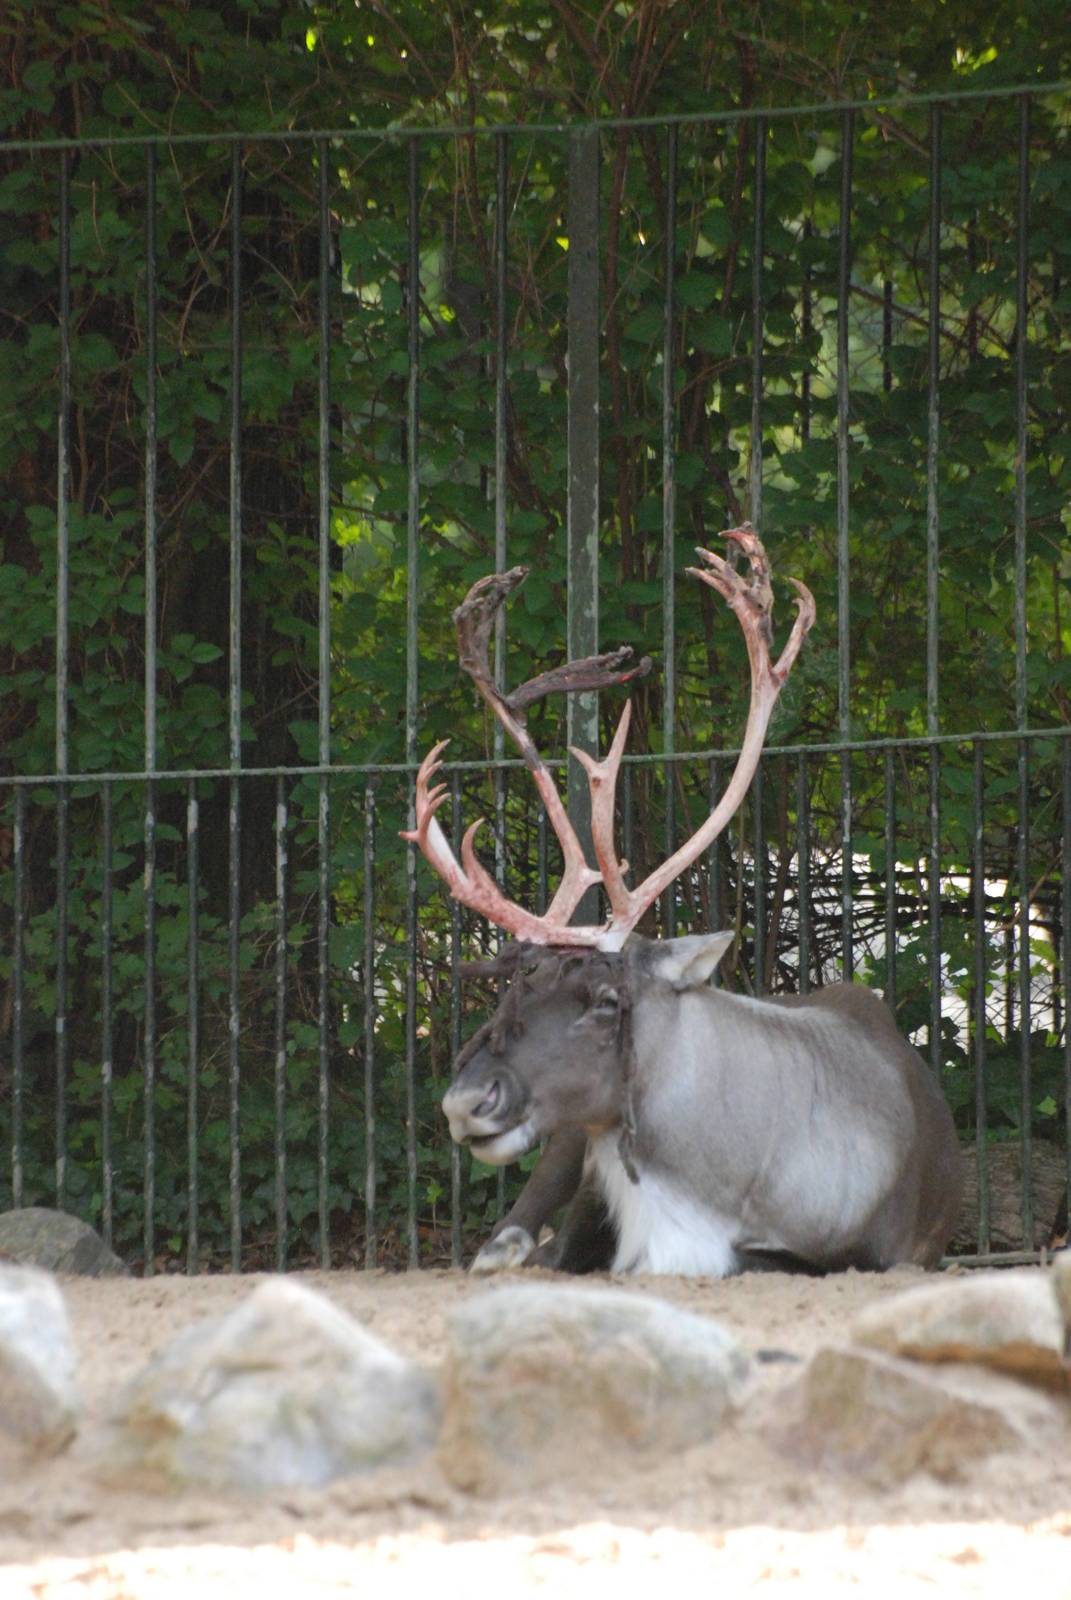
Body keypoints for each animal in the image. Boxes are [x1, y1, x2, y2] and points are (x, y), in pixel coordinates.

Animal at [402, 528, 963, 1277]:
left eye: (607, 1001)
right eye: (515, 987)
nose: (465, 1102)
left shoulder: (879, 1253)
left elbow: (760, 1259)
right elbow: (566, 1247)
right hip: (568, 1138)